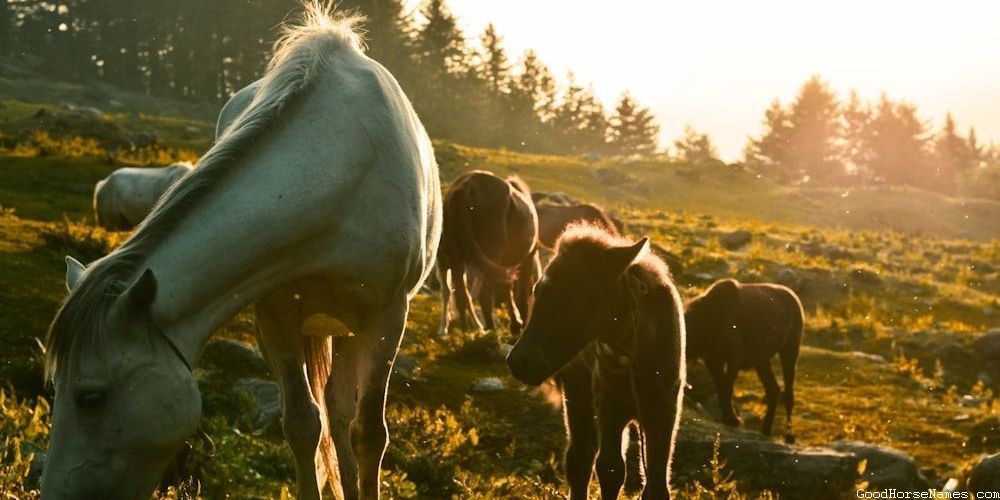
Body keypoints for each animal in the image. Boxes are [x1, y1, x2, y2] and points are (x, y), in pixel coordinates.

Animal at [41, 6, 441, 499]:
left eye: (90, 397)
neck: (339, 174)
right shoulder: (275, 315)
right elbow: (303, 425)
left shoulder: (387, 316)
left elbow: (368, 434)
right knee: (332, 411)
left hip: (354, 326)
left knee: (345, 415)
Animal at [436, 170, 540, 338]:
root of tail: (466, 187)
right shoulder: (526, 261)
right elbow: (522, 296)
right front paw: (519, 323)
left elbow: (508, 289)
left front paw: (516, 323)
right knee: (483, 295)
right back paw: (490, 331)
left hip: (457, 261)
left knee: (461, 295)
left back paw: (466, 332)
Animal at [507, 223, 686, 500]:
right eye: (537, 291)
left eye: (572, 296)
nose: (519, 362)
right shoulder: (608, 405)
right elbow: (610, 469)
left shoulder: (663, 411)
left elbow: (656, 485)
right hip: (578, 395)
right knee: (580, 458)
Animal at [685, 279, 803, 439]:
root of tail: (796, 300)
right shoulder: (713, 360)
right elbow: (720, 388)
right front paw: (728, 418)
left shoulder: (735, 357)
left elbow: (727, 387)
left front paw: (733, 419)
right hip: (761, 360)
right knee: (773, 389)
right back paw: (766, 429)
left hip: (790, 348)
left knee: (788, 392)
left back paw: (789, 435)